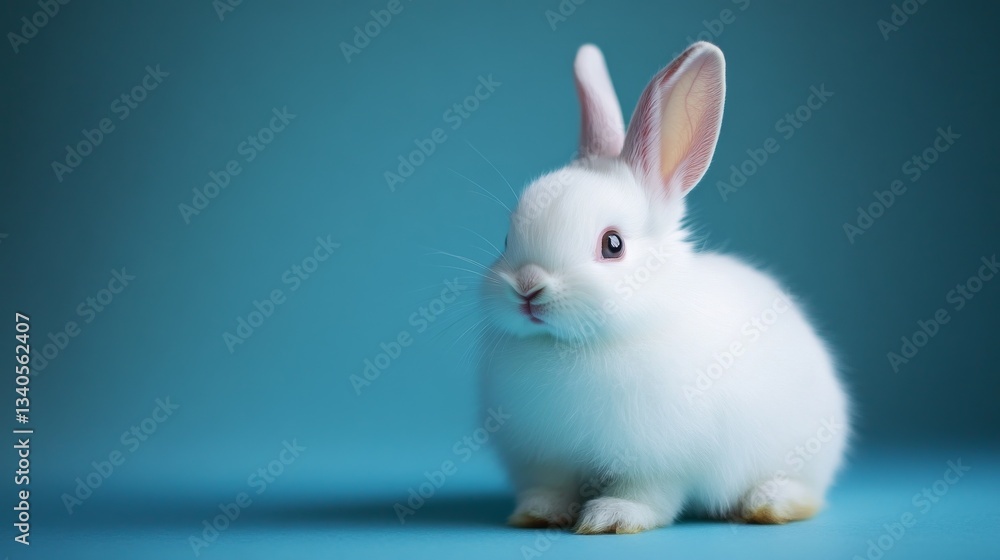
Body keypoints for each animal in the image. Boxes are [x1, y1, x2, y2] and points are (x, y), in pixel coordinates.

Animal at [477, 42, 850, 534]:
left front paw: (613, 517)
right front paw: (538, 514)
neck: (577, 344)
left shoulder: (658, 462)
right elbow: (551, 487)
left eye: (612, 244)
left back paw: (768, 504)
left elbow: (646, 493)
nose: (527, 288)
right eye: (506, 240)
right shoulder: (545, 459)